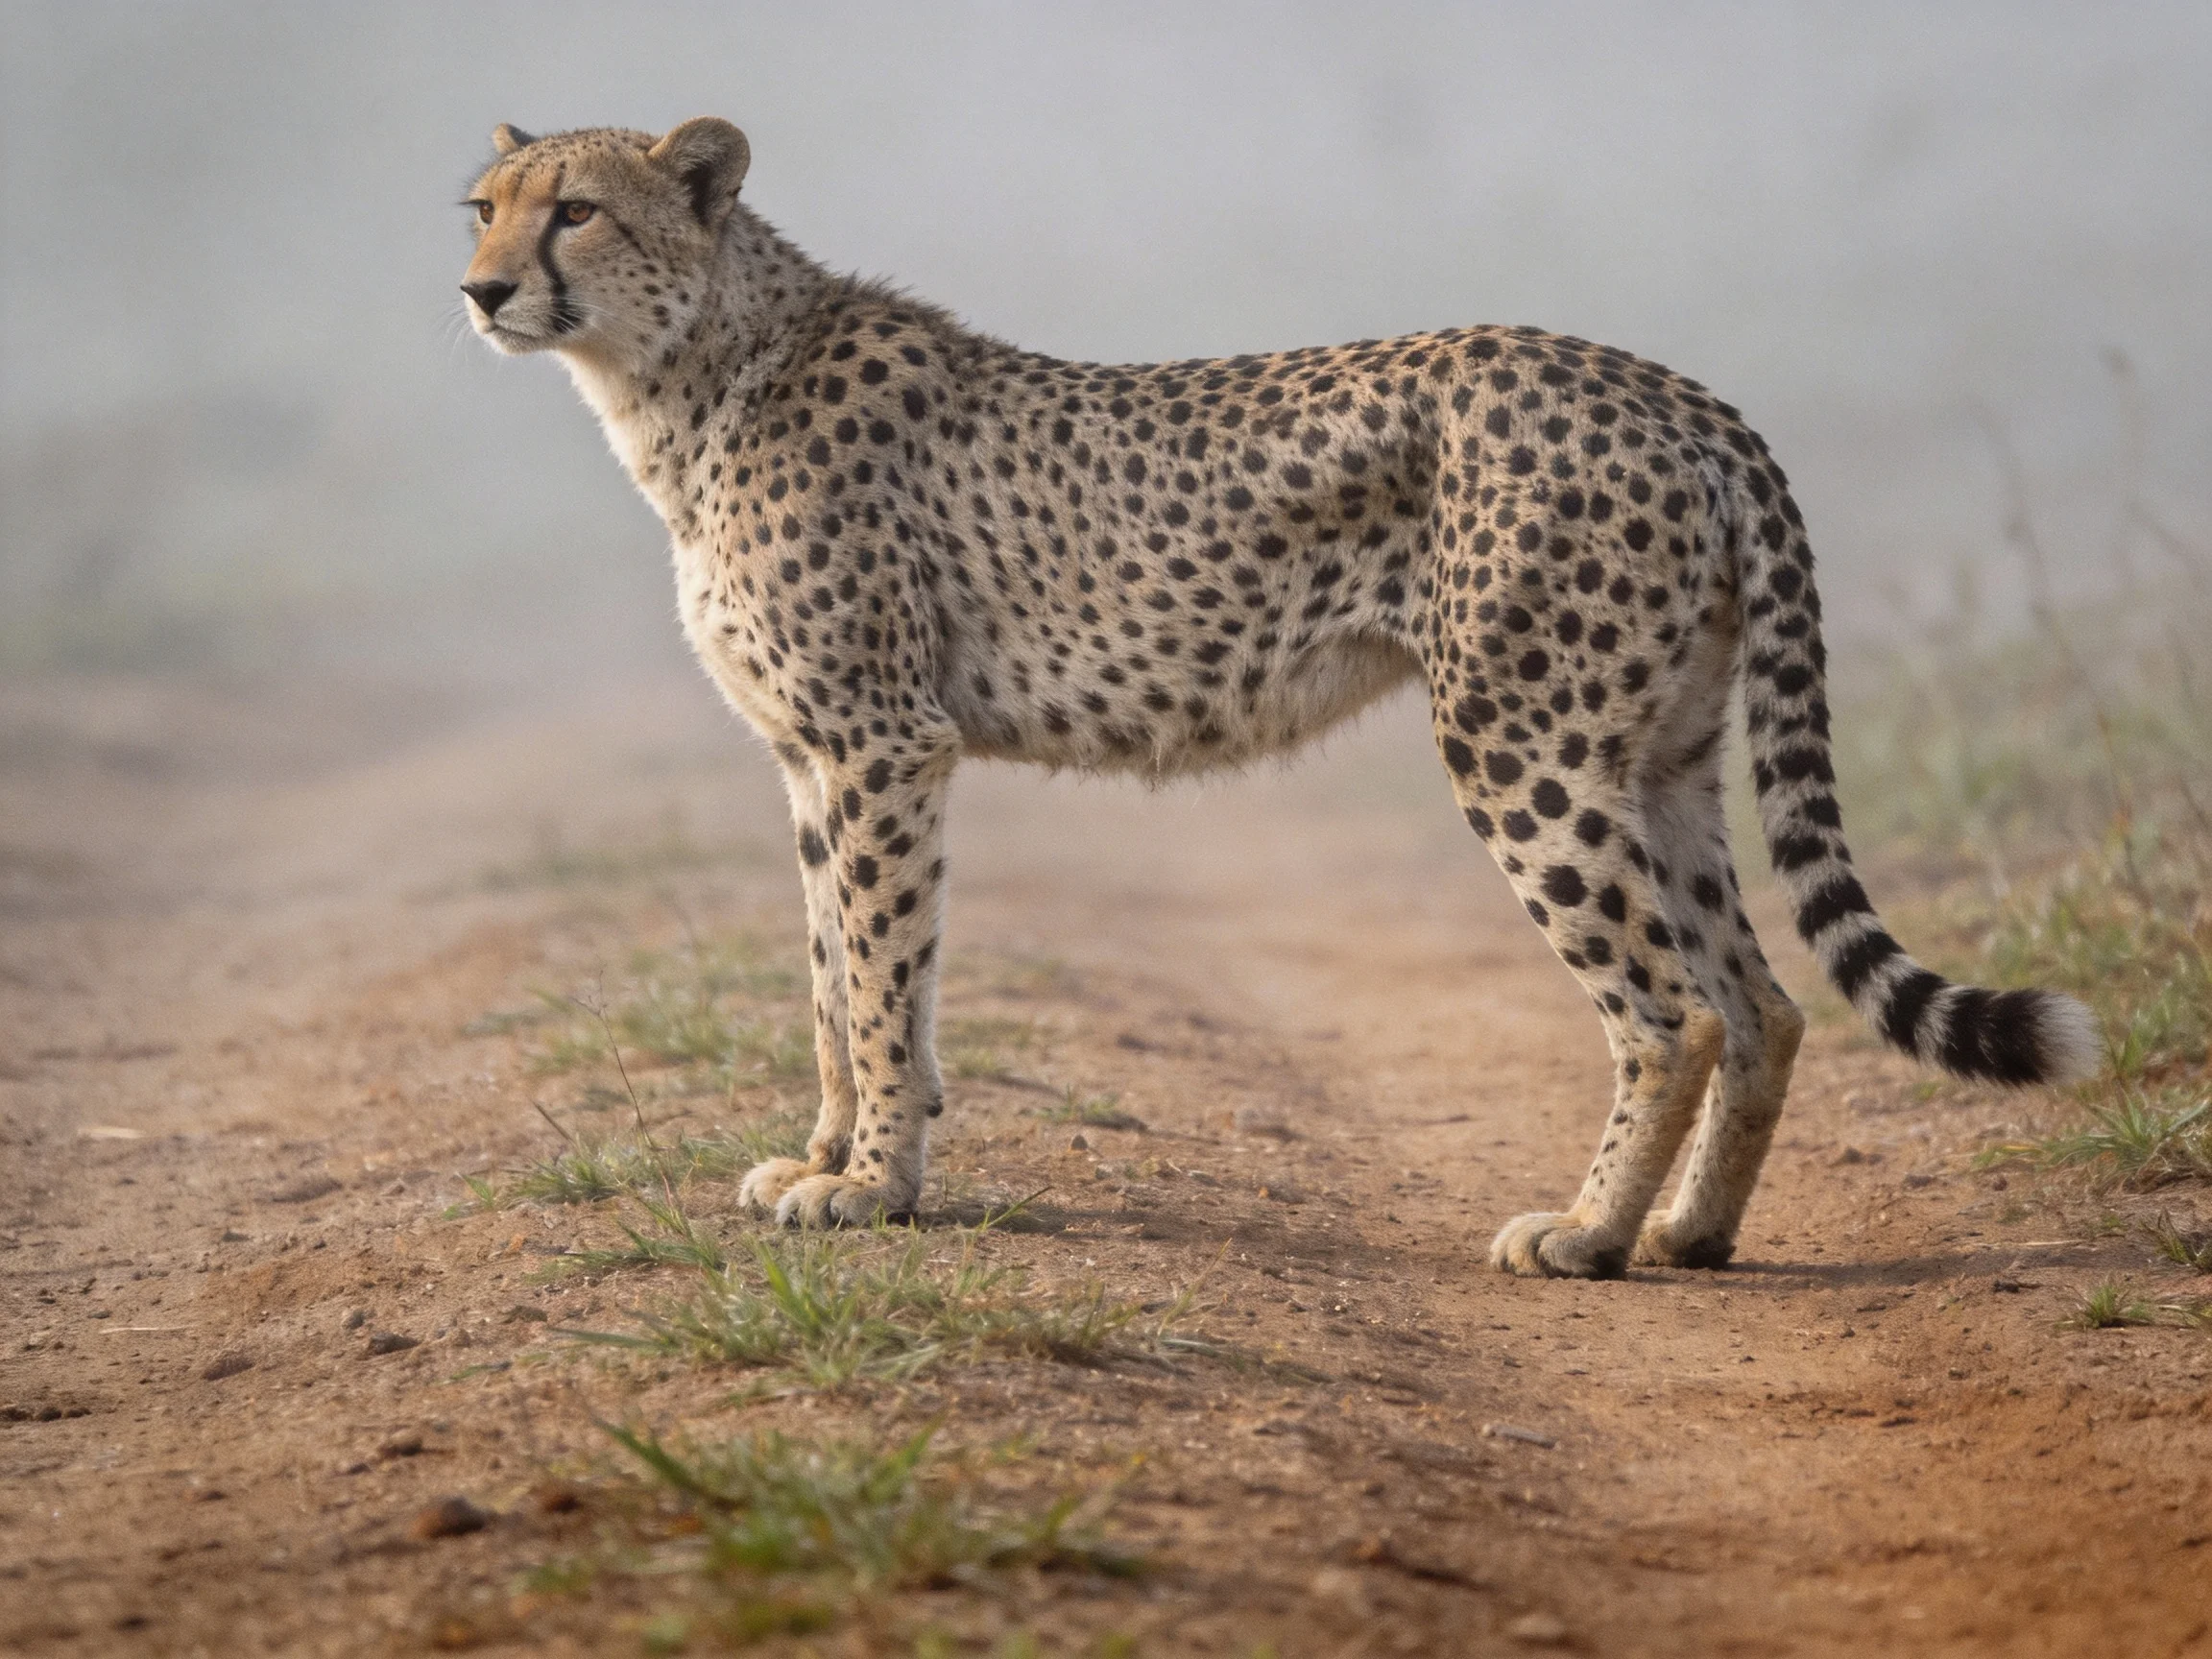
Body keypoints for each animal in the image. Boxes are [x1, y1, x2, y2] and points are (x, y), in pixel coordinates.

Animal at [458, 118, 2098, 1278]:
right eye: (483, 205)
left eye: (577, 208)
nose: (479, 289)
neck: (690, 372)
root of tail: (1671, 388)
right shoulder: (818, 760)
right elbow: (835, 983)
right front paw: (835, 1162)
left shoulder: (880, 746)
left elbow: (872, 976)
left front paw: (868, 1189)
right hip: (1664, 755)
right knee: (1761, 1002)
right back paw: (1691, 1234)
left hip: (1522, 743)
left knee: (1672, 1008)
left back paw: (1589, 1238)